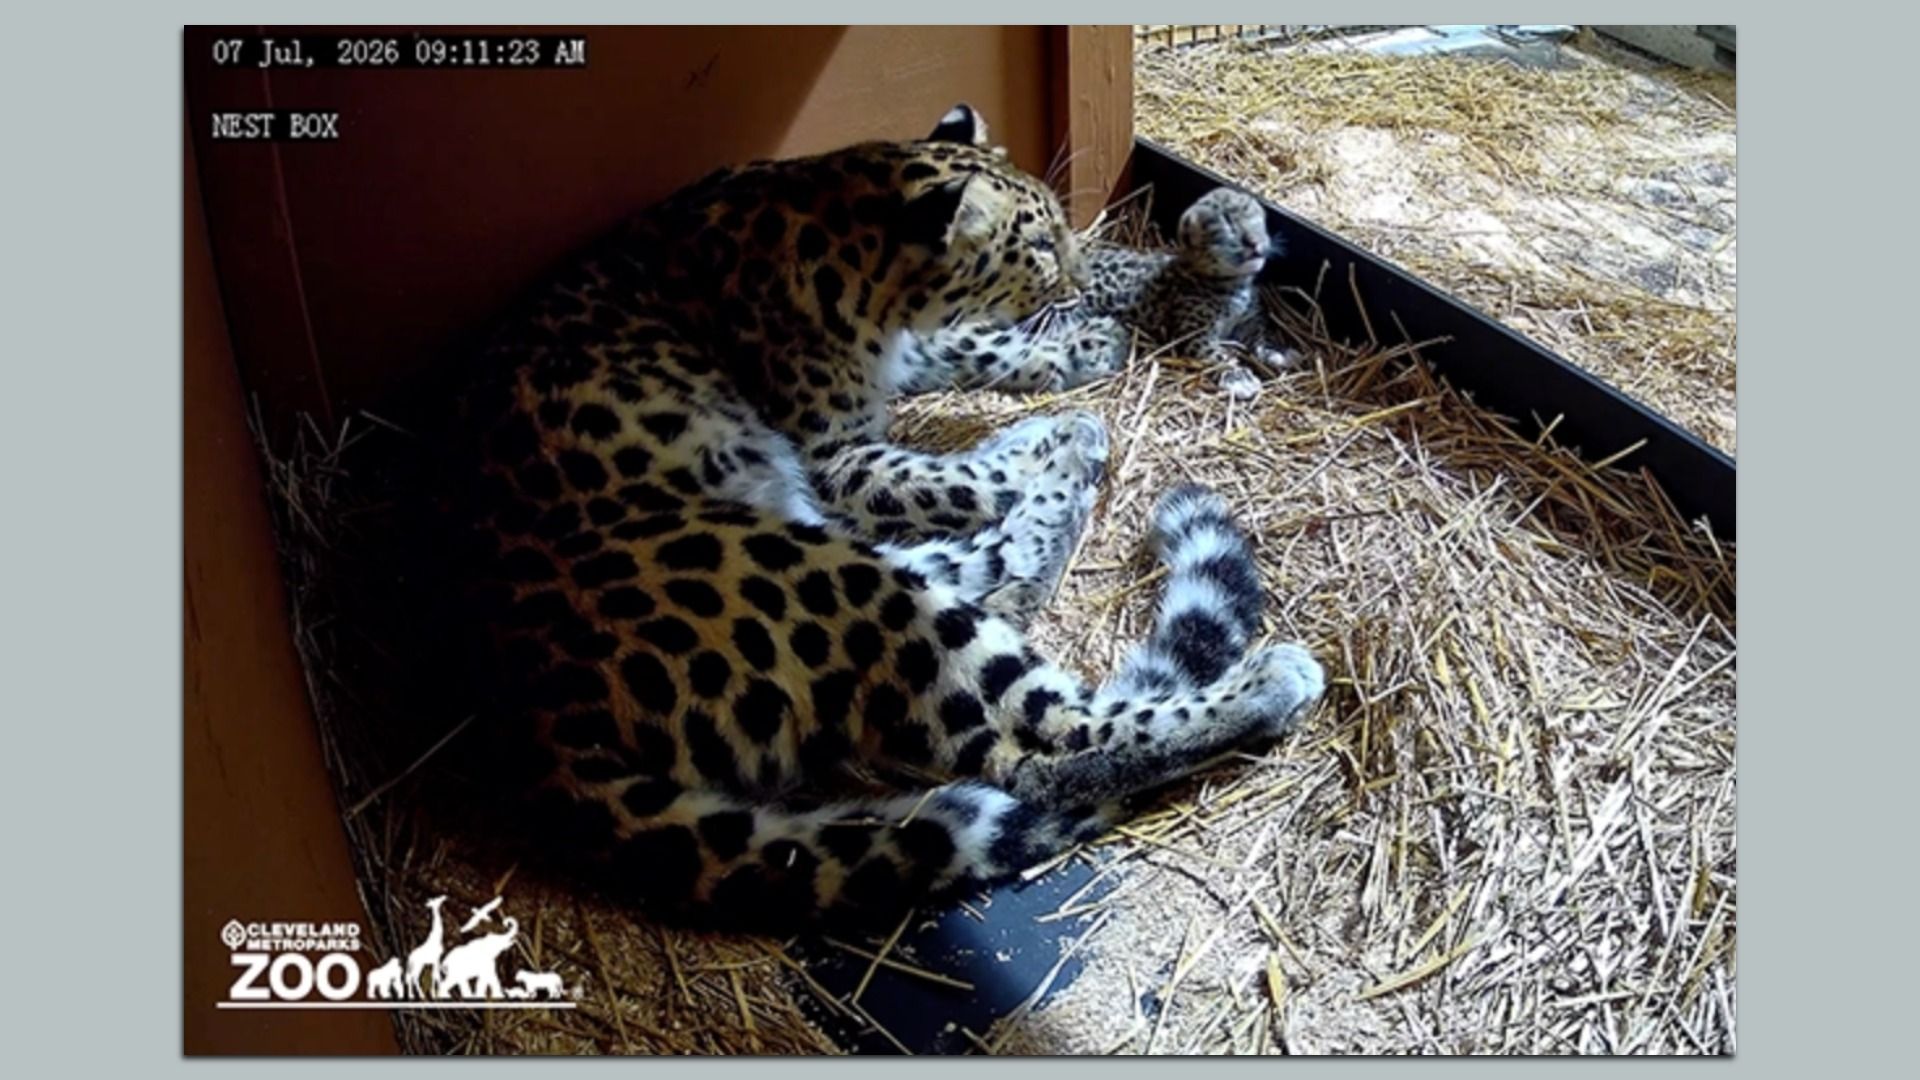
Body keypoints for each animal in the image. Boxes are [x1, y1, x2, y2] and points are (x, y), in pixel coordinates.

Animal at [893, 186, 1299, 401]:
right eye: (1228, 227)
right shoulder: (1193, 334)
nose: (1257, 244)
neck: (1232, 286)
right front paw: (1240, 377)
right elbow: (1216, 354)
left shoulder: (1250, 322)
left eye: (1258, 220)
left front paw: (1279, 353)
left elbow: (1262, 338)